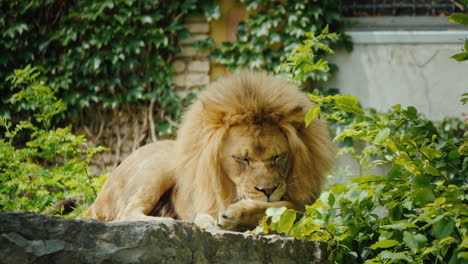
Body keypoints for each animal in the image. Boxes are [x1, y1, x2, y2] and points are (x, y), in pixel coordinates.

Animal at [86, 71, 334, 230]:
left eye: (278, 157)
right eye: (242, 159)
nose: (268, 190)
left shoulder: (304, 201)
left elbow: (281, 207)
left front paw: (237, 215)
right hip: (159, 167)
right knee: (125, 214)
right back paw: (171, 221)